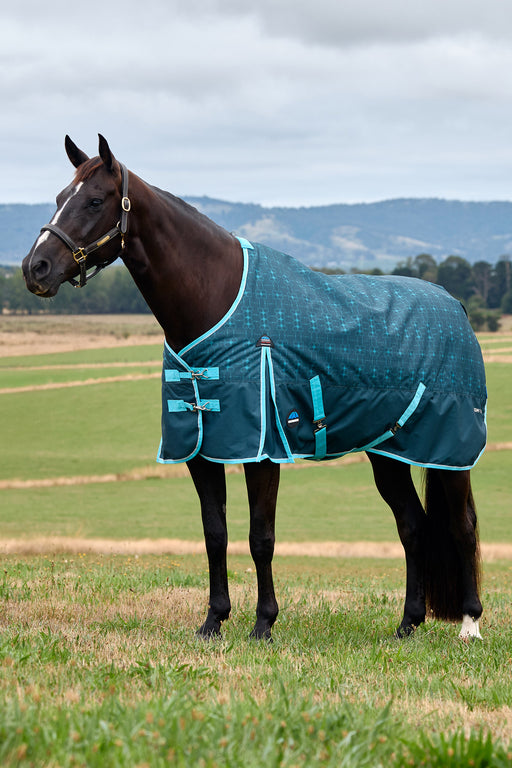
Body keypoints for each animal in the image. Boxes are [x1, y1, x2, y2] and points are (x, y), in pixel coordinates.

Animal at [22, 135, 486, 642]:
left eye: (94, 200)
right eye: (59, 198)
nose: (35, 268)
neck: (215, 298)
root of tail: (456, 306)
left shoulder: (261, 450)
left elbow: (260, 537)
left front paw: (264, 623)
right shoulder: (202, 449)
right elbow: (215, 533)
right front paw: (213, 621)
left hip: (449, 453)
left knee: (461, 526)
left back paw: (469, 625)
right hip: (388, 452)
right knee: (413, 526)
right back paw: (407, 623)